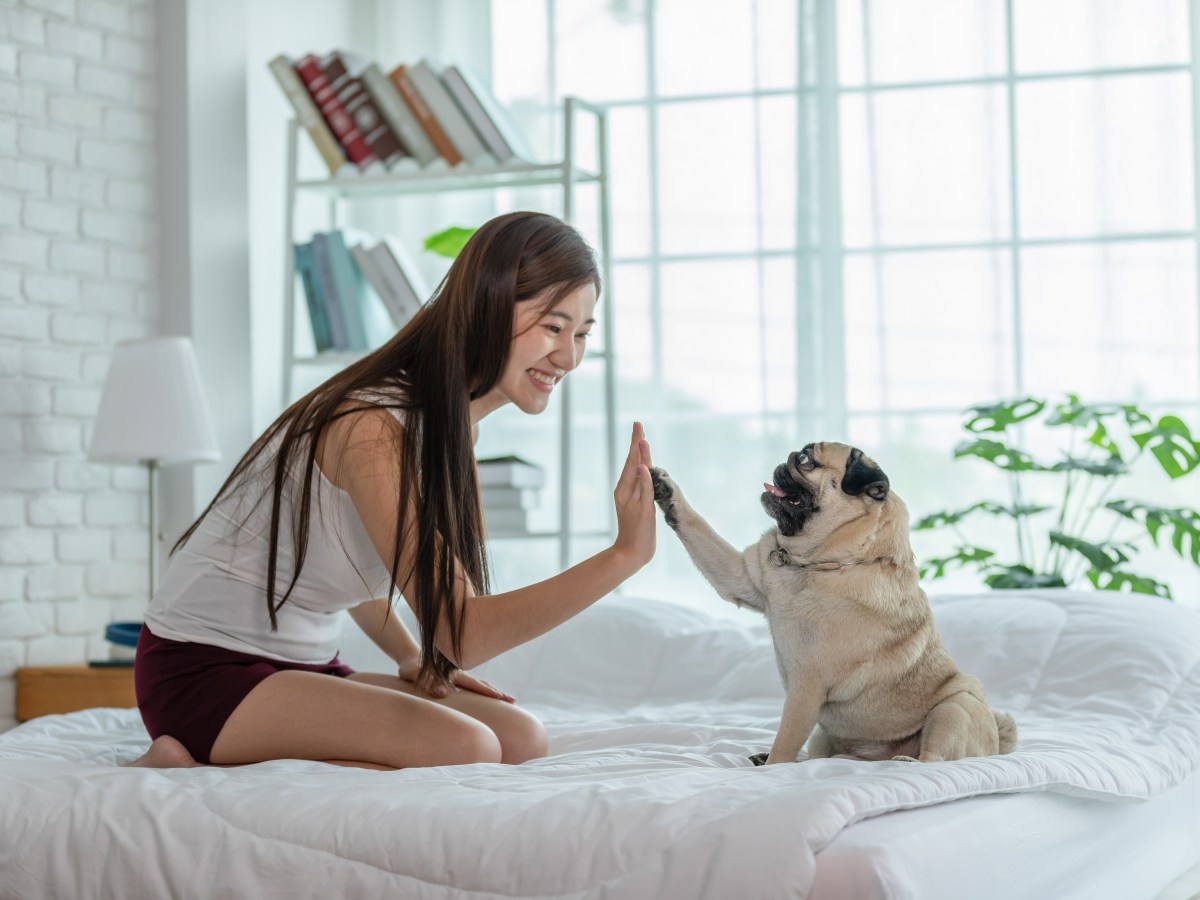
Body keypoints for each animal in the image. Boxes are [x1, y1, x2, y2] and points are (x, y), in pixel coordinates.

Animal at [652, 444, 1017, 768]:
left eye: (805, 459)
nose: (785, 459)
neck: (818, 562)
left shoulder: (806, 688)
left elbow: (785, 740)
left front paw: (772, 768)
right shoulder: (740, 576)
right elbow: (695, 525)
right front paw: (665, 490)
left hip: (954, 708)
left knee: (936, 755)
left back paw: (907, 760)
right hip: (824, 737)